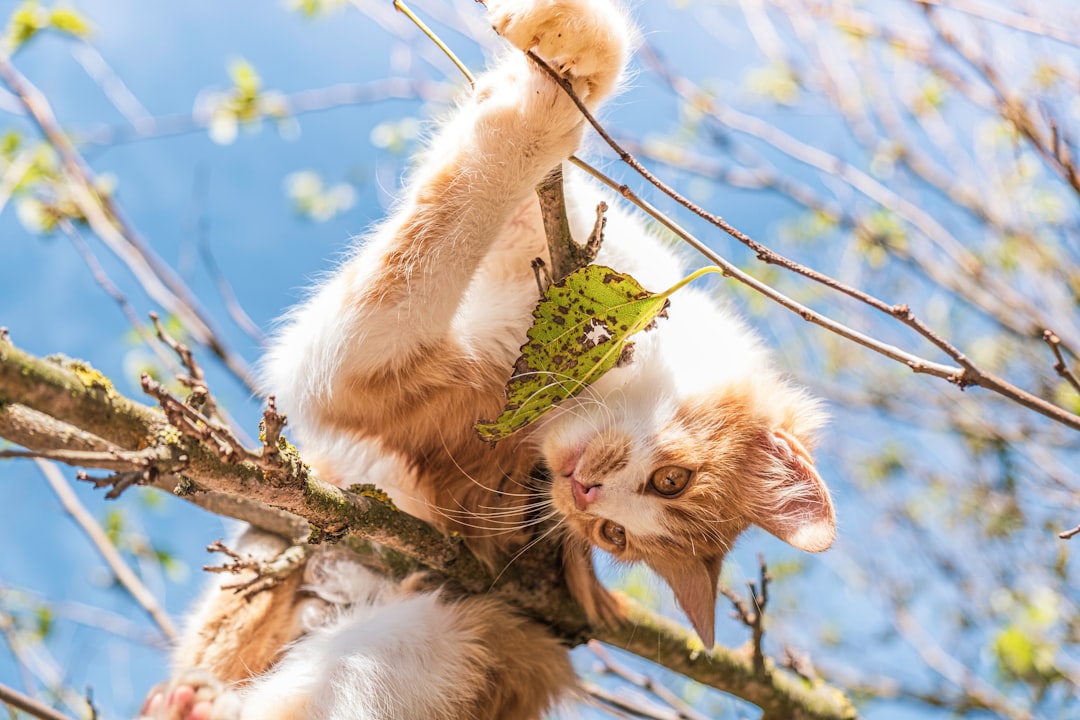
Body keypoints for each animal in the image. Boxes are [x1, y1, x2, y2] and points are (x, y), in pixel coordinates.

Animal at [139, 0, 838, 716]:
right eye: (673, 482)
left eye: (611, 536)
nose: (584, 494)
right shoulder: (573, 241)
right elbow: (538, 172)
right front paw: (566, 48)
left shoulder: (371, 370)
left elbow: (452, 210)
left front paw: (535, 114)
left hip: (437, 641)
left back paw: (198, 701)